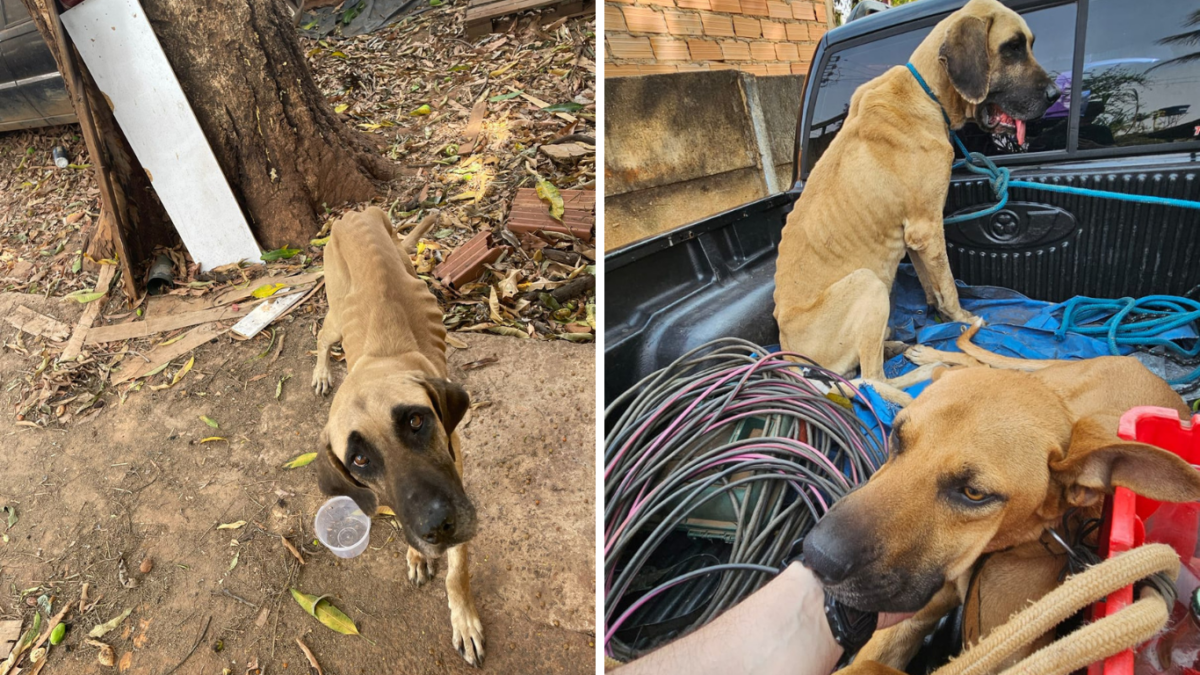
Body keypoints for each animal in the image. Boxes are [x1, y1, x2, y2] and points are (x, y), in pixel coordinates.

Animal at [312, 205, 484, 662]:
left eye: (415, 422)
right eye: (359, 459)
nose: (437, 527)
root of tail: (354, 213)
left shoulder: (458, 485)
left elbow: (458, 570)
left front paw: (463, 617)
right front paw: (418, 553)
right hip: (335, 316)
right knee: (321, 339)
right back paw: (321, 372)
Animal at [768, 0, 1060, 398]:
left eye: (1027, 44)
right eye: (1011, 48)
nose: (1056, 95)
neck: (927, 94)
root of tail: (789, 359)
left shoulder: (917, 238)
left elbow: (930, 283)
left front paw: (937, 316)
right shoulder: (927, 227)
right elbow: (949, 287)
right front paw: (963, 320)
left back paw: (894, 342)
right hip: (868, 284)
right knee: (873, 380)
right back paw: (928, 366)